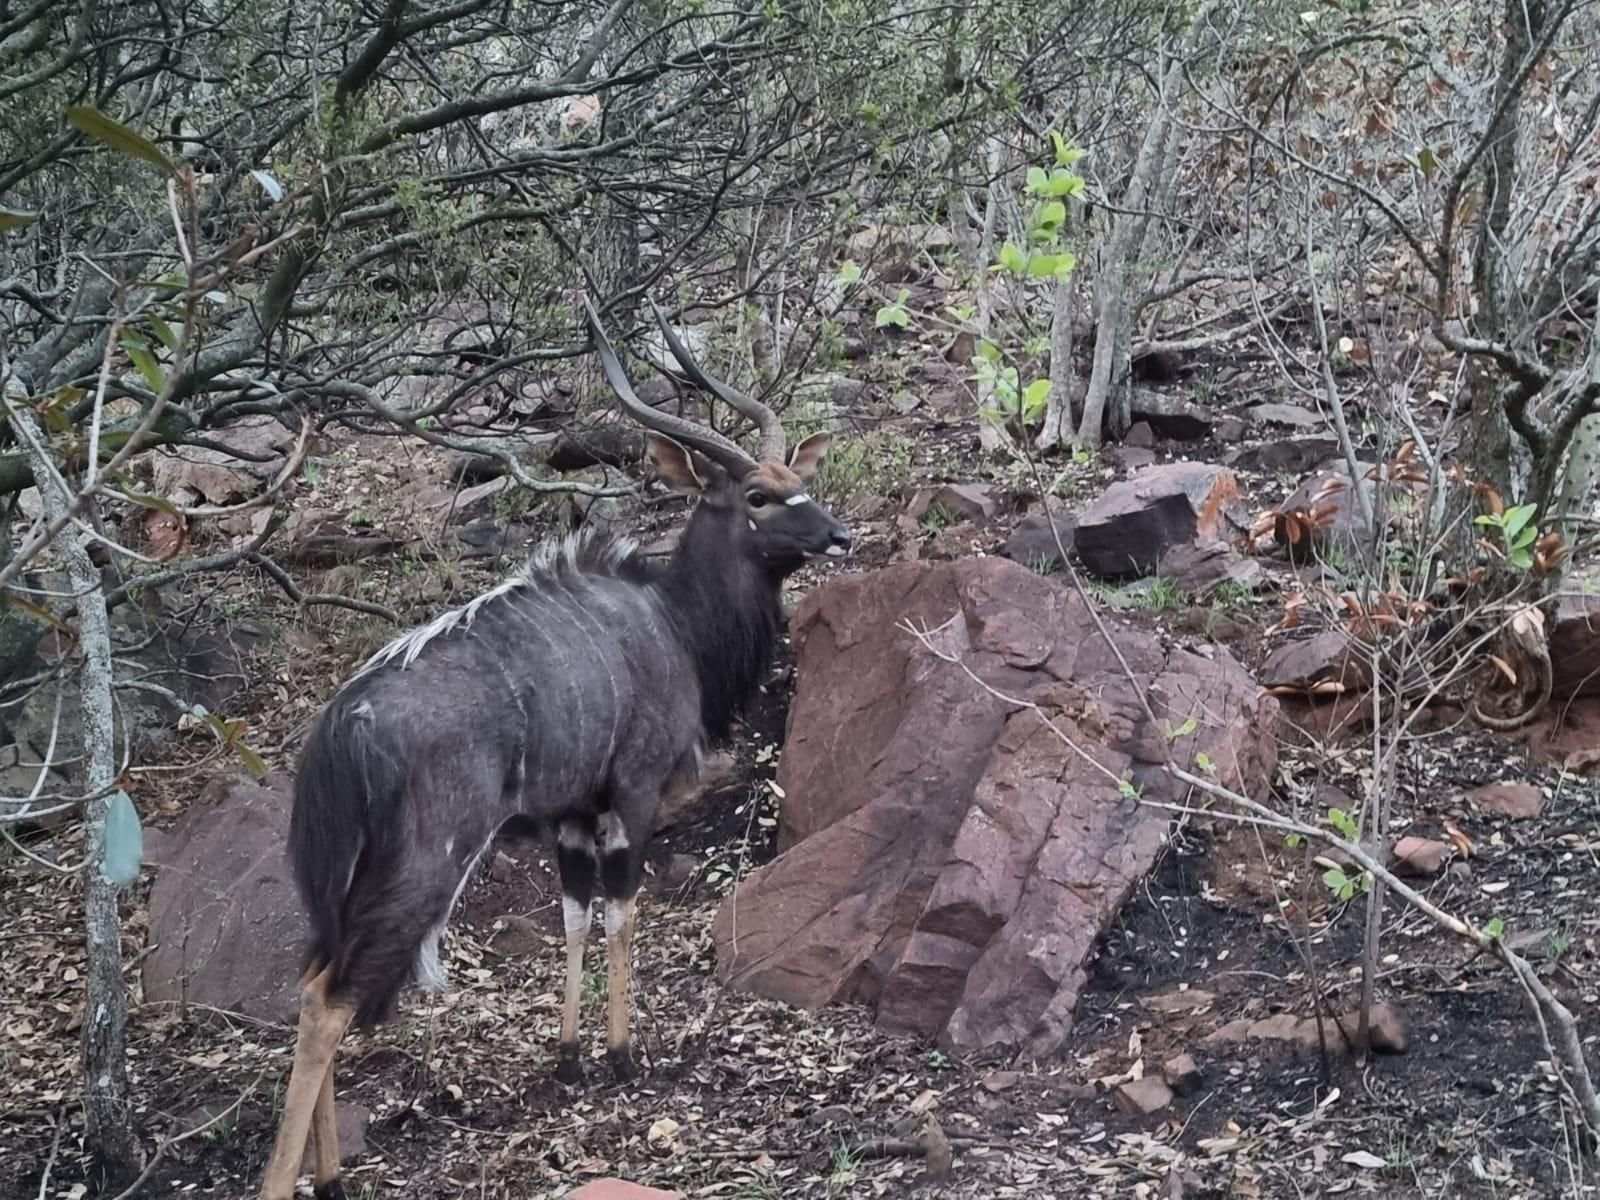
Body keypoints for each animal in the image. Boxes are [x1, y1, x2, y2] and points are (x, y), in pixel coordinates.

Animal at [260, 294, 857, 1200]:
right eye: (759, 494)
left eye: (801, 483)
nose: (840, 536)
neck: (672, 622)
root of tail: (340, 729)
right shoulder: (633, 792)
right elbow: (621, 910)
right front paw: (621, 1055)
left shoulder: (571, 814)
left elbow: (574, 915)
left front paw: (572, 1058)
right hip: (430, 860)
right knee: (331, 1000)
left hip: (343, 879)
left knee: (309, 979)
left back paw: (328, 1176)